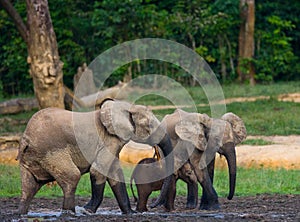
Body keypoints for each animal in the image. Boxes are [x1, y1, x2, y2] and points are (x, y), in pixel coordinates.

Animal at [17, 99, 173, 214]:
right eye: (149, 125)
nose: (152, 207)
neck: (126, 107)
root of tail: (25, 138)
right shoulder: (109, 140)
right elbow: (98, 171)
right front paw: (87, 210)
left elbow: (115, 174)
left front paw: (130, 213)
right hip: (51, 152)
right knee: (72, 177)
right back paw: (70, 213)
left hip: (33, 156)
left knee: (29, 186)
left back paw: (21, 214)